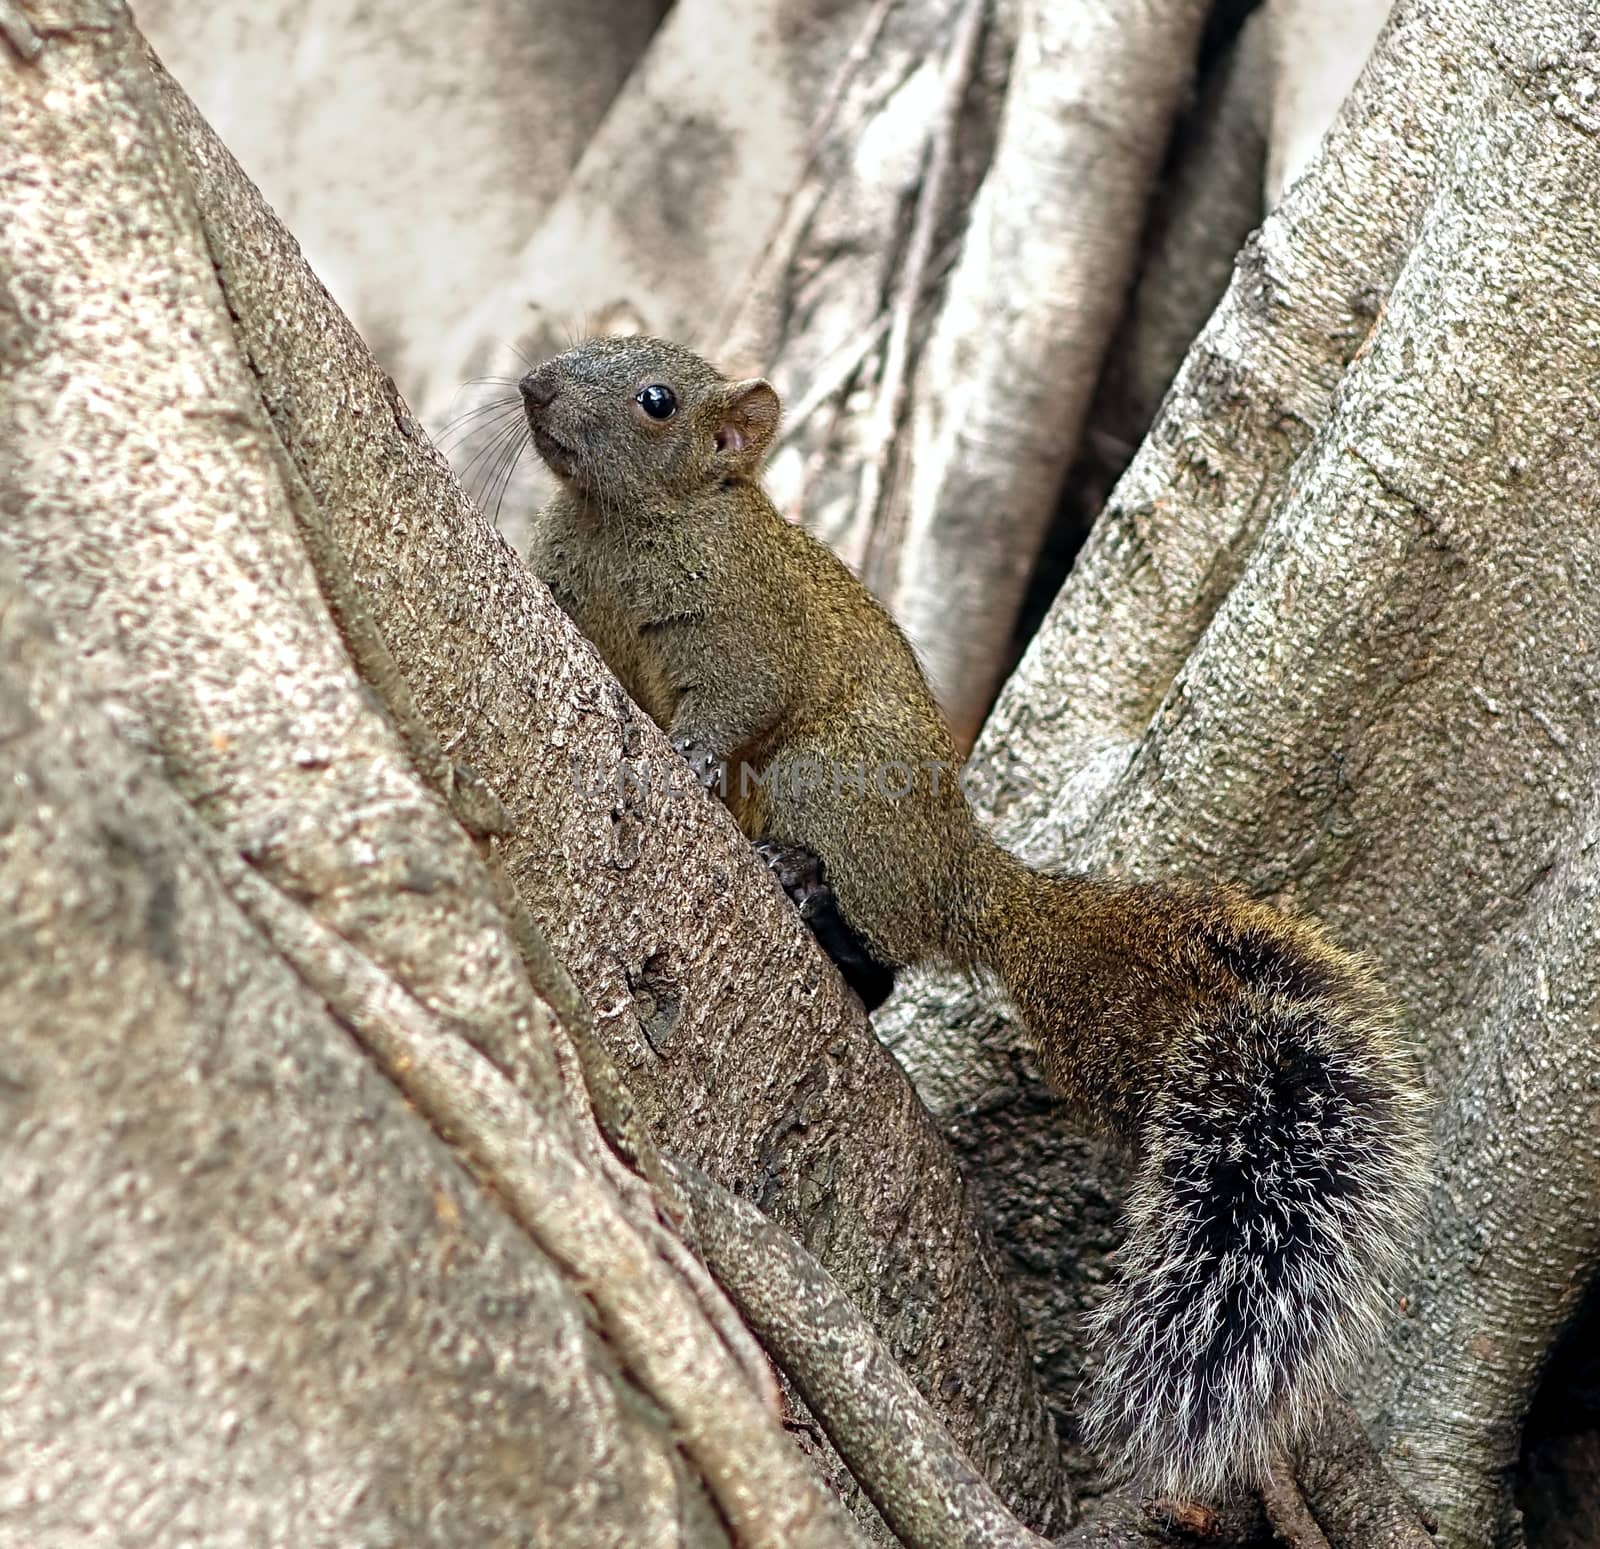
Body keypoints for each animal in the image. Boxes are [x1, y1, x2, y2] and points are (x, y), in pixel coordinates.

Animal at [518, 336, 1433, 1497]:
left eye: (656, 401)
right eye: (587, 350)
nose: (534, 387)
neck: (623, 527)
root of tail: (964, 875)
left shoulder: (747, 631)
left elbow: (735, 703)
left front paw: (685, 752)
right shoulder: (568, 582)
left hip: (834, 785)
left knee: (877, 940)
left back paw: (799, 882)